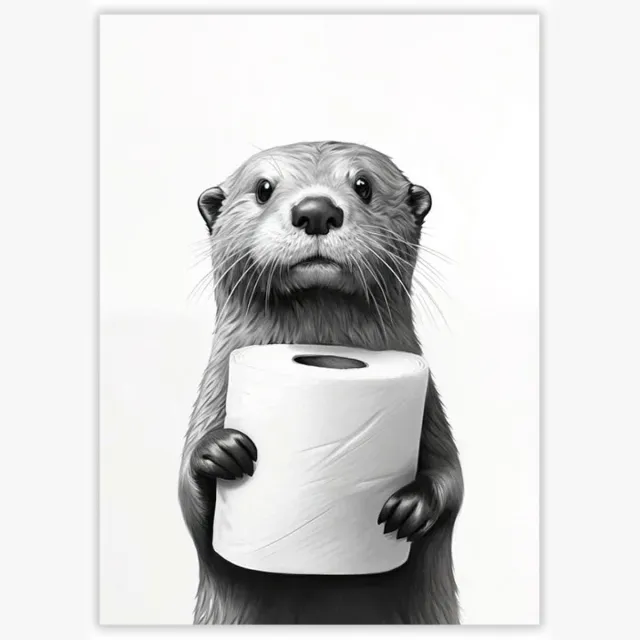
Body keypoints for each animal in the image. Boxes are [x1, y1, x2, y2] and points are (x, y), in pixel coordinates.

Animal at [179, 141, 463, 624]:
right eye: (263, 188)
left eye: (364, 184)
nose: (316, 210)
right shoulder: (213, 395)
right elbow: (190, 506)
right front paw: (219, 451)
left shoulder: (430, 409)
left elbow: (454, 481)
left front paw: (413, 505)